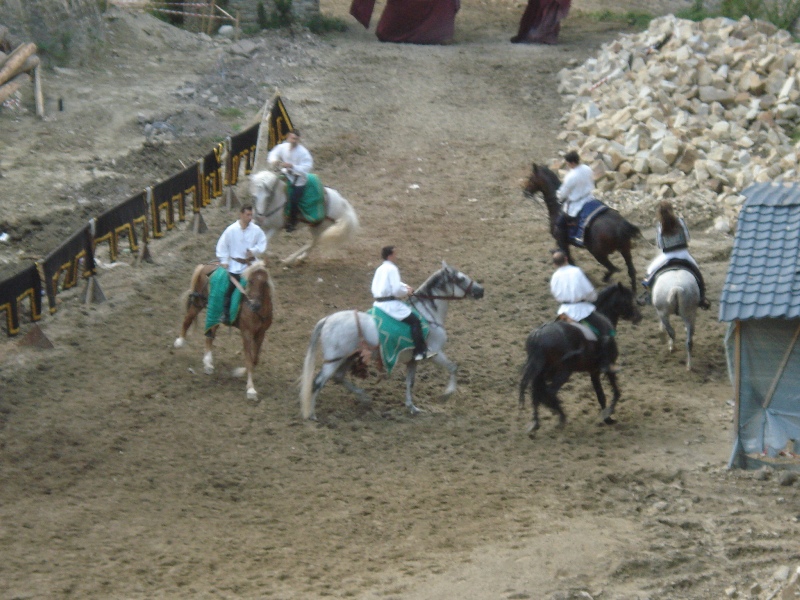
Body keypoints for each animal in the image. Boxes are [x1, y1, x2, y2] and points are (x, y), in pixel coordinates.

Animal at [173, 260, 274, 402]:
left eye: (264, 282)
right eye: (251, 281)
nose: (255, 305)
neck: (257, 311)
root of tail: (205, 266)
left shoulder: (261, 333)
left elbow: (254, 359)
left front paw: (241, 372)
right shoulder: (246, 333)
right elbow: (249, 359)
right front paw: (251, 389)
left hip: (214, 314)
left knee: (210, 335)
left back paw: (208, 363)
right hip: (198, 304)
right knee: (187, 319)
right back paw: (180, 341)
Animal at [299, 262, 485, 420]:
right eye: (461, 278)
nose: (481, 290)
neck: (428, 315)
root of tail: (327, 320)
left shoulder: (413, 360)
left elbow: (410, 382)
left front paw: (412, 407)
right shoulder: (435, 353)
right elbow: (453, 367)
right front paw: (446, 395)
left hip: (348, 357)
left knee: (338, 377)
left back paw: (364, 398)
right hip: (334, 360)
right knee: (318, 382)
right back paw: (312, 415)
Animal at [518, 283, 641, 435]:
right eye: (628, 299)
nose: (639, 316)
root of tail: (538, 336)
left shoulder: (594, 372)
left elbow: (601, 396)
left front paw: (607, 418)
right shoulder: (608, 368)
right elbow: (616, 392)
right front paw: (609, 413)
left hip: (541, 373)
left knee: (536, 393)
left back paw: (535, 423)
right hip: (562, 372)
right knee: (549, 393)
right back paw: (561, 417)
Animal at [523, 163, 641, 291]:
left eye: (530, 178)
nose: (525, 192)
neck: (558, 206)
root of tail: (620, 225)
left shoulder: (561, 241)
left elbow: (569, 260)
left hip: (598, 253)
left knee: (613, 268)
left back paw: (604, 279)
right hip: (625, 250)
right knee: (631, 271)